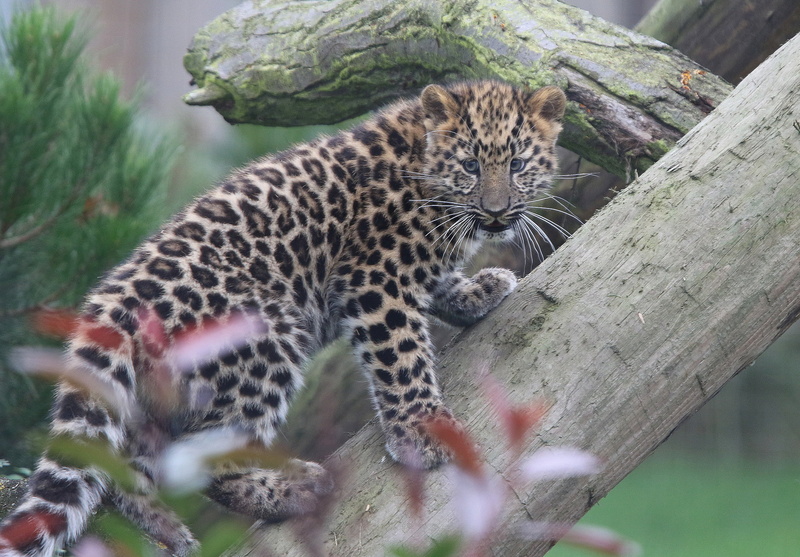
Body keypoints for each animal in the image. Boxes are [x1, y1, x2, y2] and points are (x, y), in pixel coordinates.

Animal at [0, 80, 566, 556]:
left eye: (518, 164)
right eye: (469, 165)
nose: (495, 212)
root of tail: (112, 303)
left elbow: (439, 285)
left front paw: (479, 290)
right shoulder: (374, 280)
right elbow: (401, 357)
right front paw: (423, 431)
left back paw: (167, 530)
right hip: (264, 336)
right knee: (200, 457)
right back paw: (292, 489)